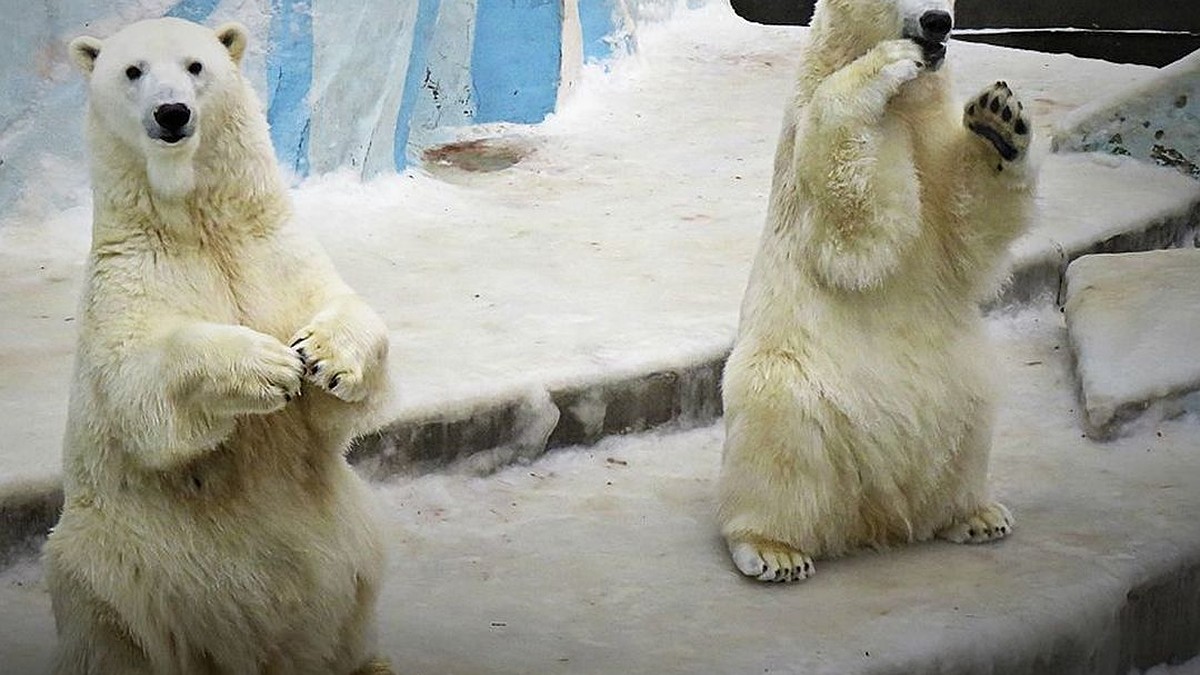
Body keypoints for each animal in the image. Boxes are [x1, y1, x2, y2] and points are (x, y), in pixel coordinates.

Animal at [46, 17, 396, 672]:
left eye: (195, 65)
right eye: (133, 70)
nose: (172, 112)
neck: (200, 226)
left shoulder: (274, 251)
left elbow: (343, 332)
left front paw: (323, 357)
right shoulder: (129, 278)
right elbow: (139, 387)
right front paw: (267, 366)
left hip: (347, 542)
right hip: (117, 563)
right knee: (108, 617)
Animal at [715, 0, 1036, 581]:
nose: (937, 23)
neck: (910, 105)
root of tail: (875, 515)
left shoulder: (933, 141)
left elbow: (966, 229)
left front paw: (999, 118)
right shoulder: (804, 134)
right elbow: (858, 225)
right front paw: (890, 62)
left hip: (958, 386)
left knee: (972, 417)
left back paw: (975, 515)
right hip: (800, 382)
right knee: (779, 431)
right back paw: (773, 549)